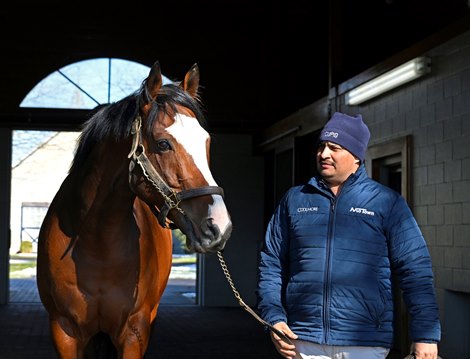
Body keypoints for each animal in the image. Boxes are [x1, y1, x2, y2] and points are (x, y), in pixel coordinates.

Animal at [36, 60, 231, 358]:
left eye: (206, 142)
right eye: (163, 144)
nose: (219, 225)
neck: (98, 243)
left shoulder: (134, 332)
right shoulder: (64, 331)